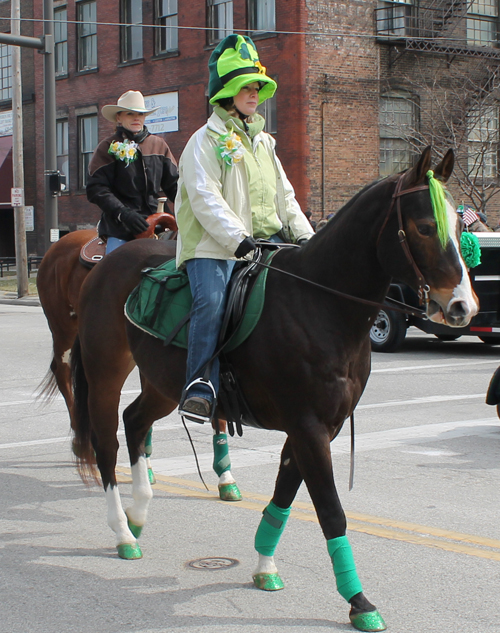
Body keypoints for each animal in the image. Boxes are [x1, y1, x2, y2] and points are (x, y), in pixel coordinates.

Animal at [69, 147, 476, 628]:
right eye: (425, 226)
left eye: (460, 227)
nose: (463, 306)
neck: (319, 304)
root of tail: (104, 267)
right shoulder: (308, 427)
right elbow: (331, 512)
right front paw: (359, 601)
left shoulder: (318, 429)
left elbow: (284, 495)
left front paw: (265, 565)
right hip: (106, 372)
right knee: (107, 444)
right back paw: (122, 532)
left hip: (163, 385)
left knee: (134, 422)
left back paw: (138, 514)